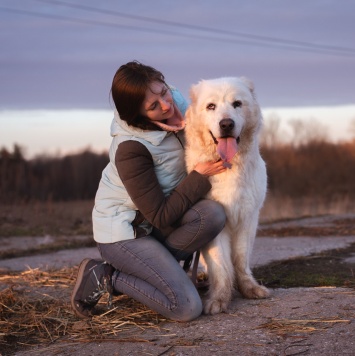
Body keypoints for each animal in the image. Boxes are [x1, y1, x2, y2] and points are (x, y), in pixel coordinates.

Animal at [185, 76, 272, 314]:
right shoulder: (217, 221)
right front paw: (219, 299)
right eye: (211, 106)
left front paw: (249, 288)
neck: (229, 166)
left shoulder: (248, 218)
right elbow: (221, 265)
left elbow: (240, 258)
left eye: (237, 104)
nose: (226, 124)